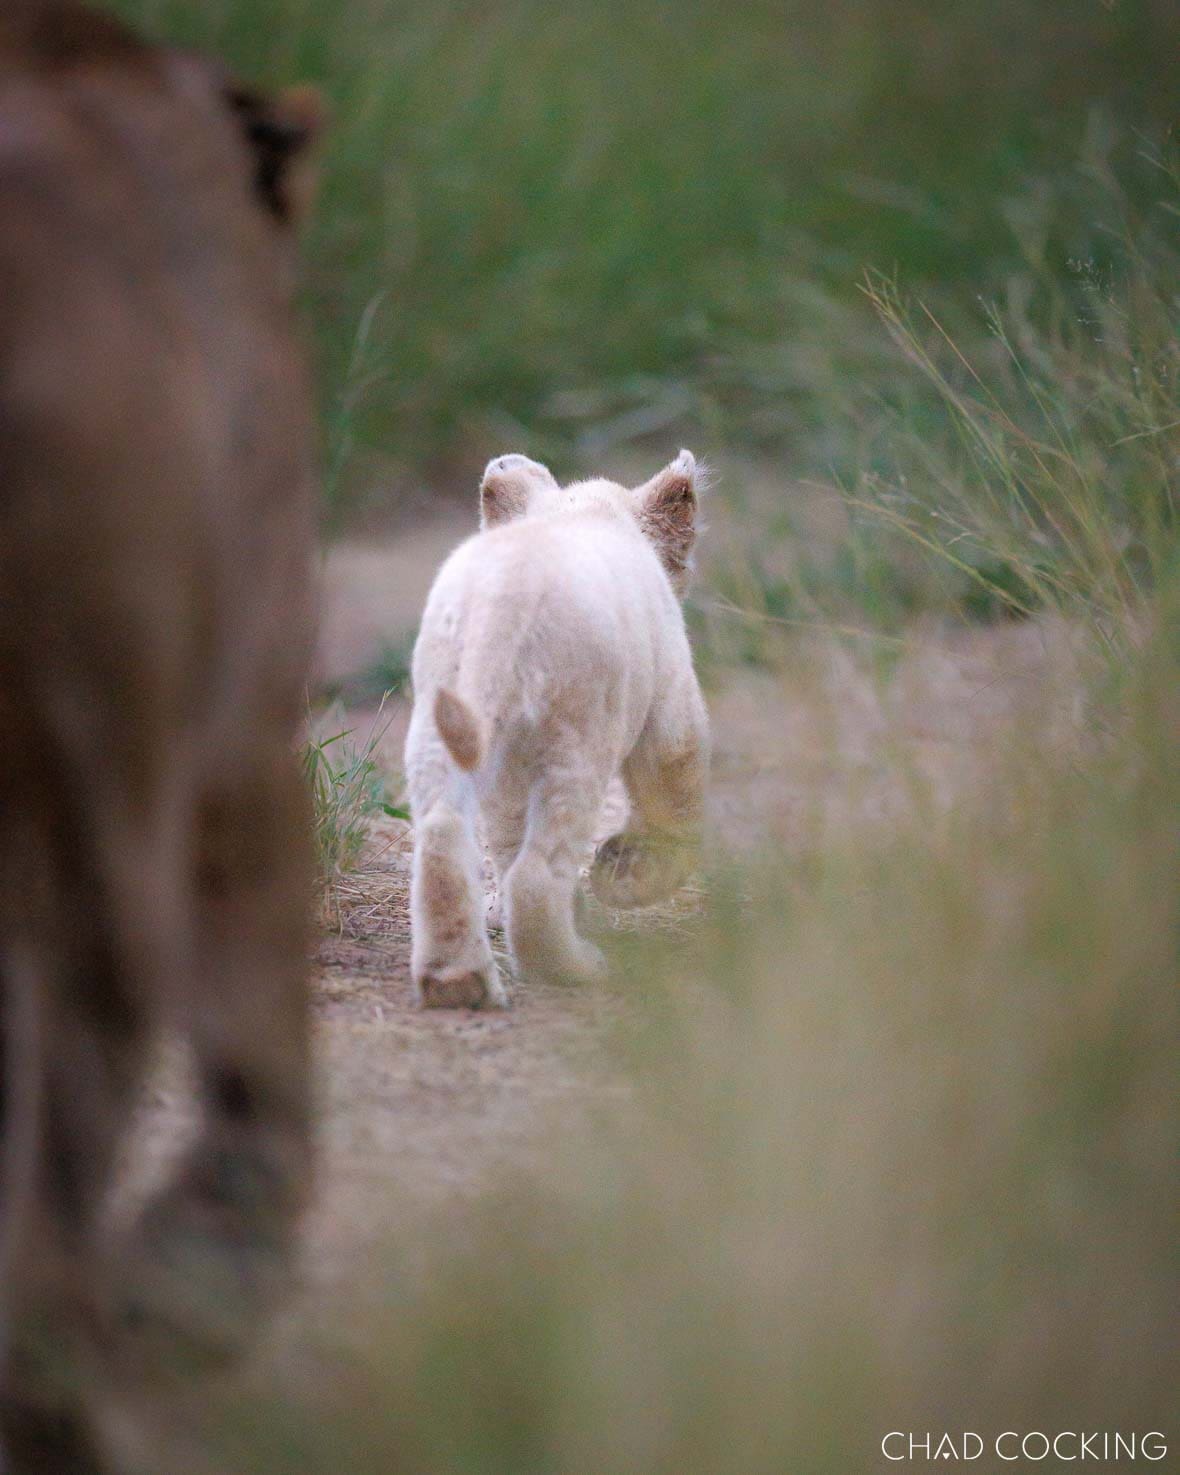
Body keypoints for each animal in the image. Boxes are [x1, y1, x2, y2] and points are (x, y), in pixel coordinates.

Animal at [404, 450, 710, 1008]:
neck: (585, 507)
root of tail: (504, 598)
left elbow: (505, 839)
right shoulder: (671, 694)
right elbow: (676, 786)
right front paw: (627, 875)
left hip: (441, 713)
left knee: (444, 835)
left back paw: (457, 981)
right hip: (579, 733)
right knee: (537, 873)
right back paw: (576, 967)